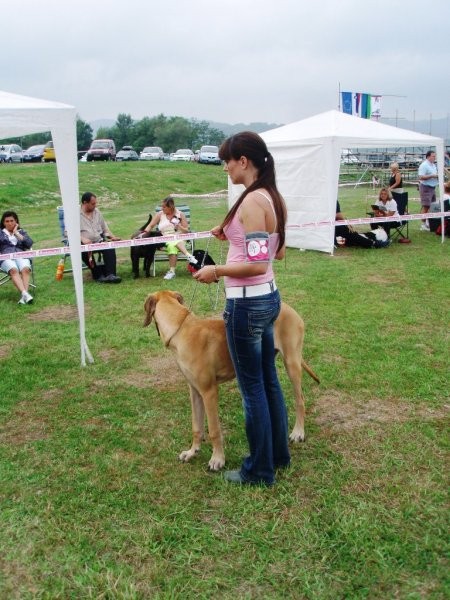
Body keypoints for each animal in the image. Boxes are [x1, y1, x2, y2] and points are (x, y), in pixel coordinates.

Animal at [142, 290, 318, 468]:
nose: (193, 452)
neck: (180, 328)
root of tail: (289, 309)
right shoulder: (195, 391)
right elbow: (196, 426)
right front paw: (192, 452)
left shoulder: (209, 392)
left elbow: (214, 430)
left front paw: (217, 459)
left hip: (291, 363)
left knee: (300, 400)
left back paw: (298, 432)